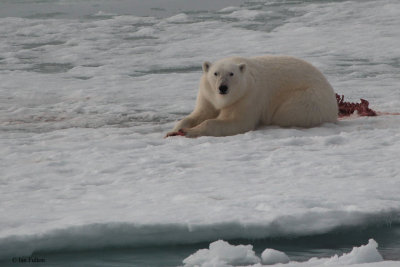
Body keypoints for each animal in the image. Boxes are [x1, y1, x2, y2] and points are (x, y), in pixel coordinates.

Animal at [166, 55, 338, 138]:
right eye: (215, 73)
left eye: (231, 74)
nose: (223, 87)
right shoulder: (207, 95)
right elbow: (200, 113)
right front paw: (174, 130)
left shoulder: (247, 97)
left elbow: (236, 121)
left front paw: (189, 132)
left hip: (306, 99)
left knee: (287, 112)